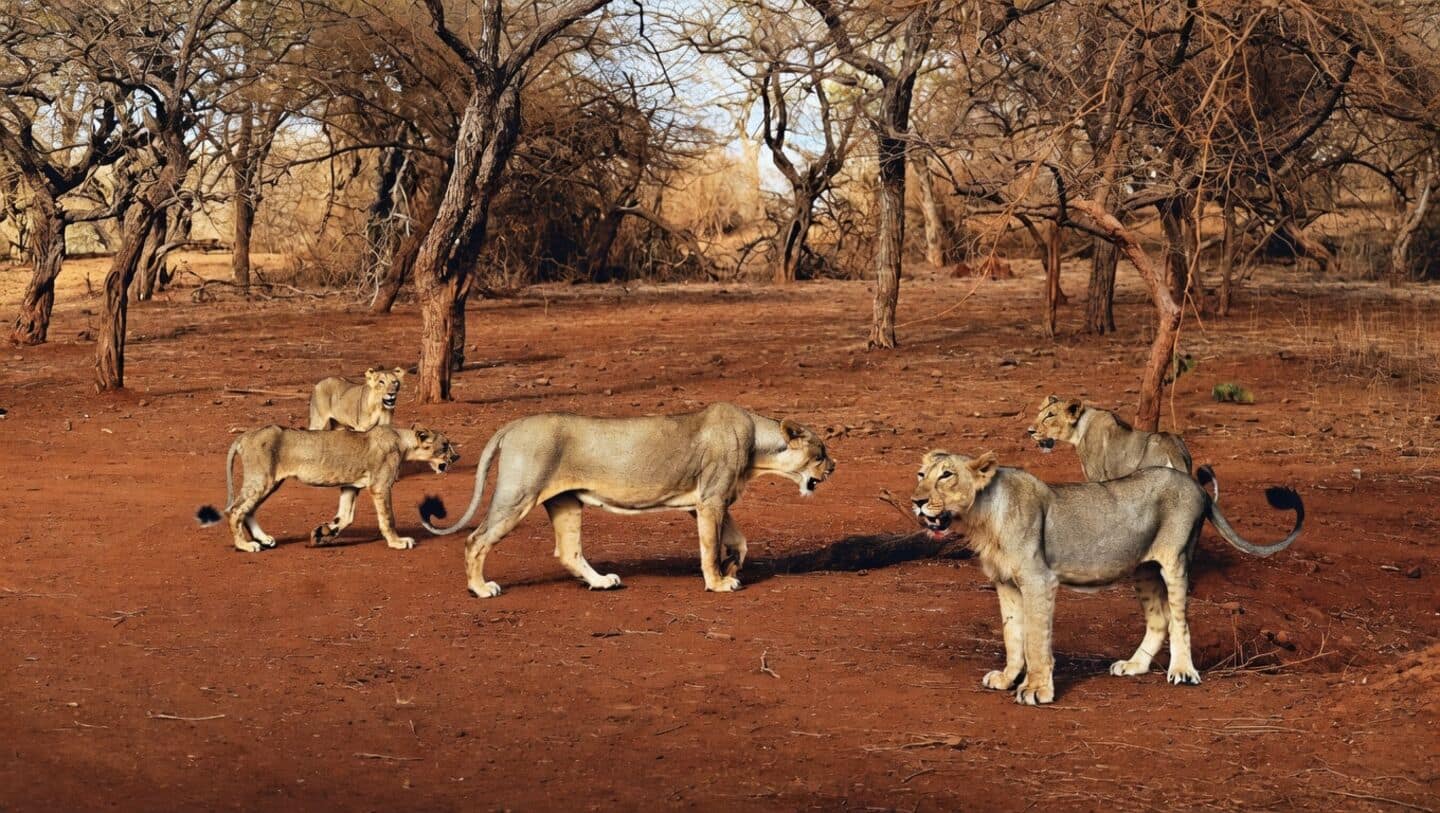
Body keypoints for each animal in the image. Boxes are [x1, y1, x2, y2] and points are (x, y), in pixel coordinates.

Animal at [198, 424, 459, 553]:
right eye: (445, 445)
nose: (457, 457)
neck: (403, 443)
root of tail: (244, 435)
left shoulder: (350, 486)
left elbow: (345, 517)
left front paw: (321, 534)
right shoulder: (380, 485)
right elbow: (388, 518)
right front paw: (397, 542)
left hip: (270, 482)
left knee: (248, 510)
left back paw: (264, 540)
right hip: (261, 479)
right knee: (235, 510)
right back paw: (246, 545)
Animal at [418, 402, 835, 597]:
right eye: (821, 453)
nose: (834, 467)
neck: (759, 449)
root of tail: (513, 424)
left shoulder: (704, 502)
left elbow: (739, 541)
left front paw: (733, 567)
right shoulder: (711, 500)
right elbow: (709, 548)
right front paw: (718, 582)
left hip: (566, 502)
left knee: (568, 551)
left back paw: (602, 582)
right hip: (518, 494)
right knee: (476, 540)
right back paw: (480, 588)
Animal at [911, 450, 1302, 705]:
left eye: (946, 475)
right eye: (921, 474)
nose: (916, 501)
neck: (982, 517)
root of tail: (1197, 486)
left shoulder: (1039, 580)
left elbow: (1036, 640)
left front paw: (1037, 689)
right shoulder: (1005, 583)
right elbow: (1012, 635)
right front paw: (1007, 678)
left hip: (1175, 559)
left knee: (1179, 620)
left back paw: (1182, 671)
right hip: (1144, 569)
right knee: (1159, 619)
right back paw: (1134, 666)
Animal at [1028, 395, 1195, 482]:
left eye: (1050, 415)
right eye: (1039, 414)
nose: (1030, 431)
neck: (1080, 429)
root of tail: (1172, 448)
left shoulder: (1096, 477)